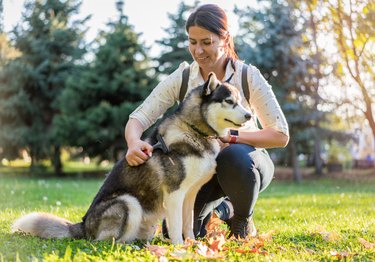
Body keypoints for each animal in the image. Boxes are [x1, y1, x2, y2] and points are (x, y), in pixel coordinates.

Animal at [12, 72, 253, 245]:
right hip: (128, 202)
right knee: (104, 242)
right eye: (229, 101)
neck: (194, 130)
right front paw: (179, 248)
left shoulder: (190, 194)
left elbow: (188, 223)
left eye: (241, 101)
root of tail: (83, 224)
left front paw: (193, 244)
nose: (250, 115)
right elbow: (176, 226)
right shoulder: (174, 194)